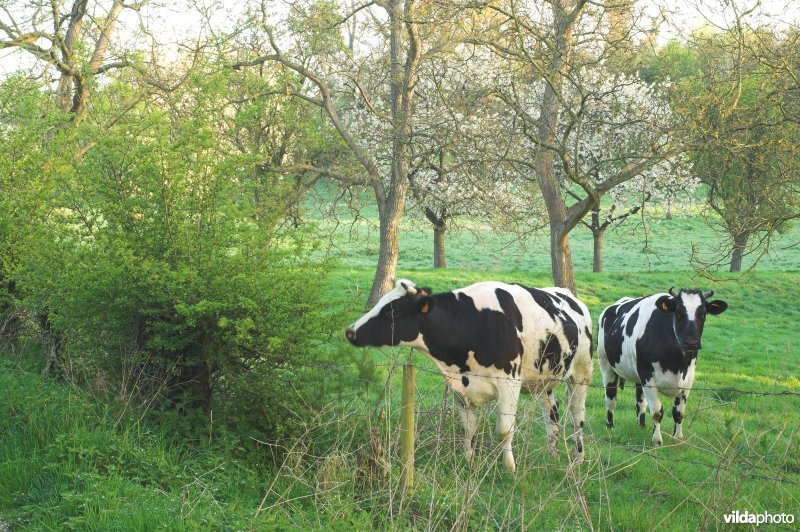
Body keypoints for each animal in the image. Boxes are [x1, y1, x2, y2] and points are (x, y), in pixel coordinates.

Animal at [344, 278, 592, 470]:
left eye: (392, 310)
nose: (350, 332)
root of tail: (571, 297)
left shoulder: (509, 382)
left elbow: (504, 430)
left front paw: (509, 468)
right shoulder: (461, 387)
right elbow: (468, 427)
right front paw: (468, 460)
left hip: (581, 372)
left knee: (577, 415)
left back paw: (578, 458)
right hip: (544, 380)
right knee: (552, 412)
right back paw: (553, 454)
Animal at [596, 286, 728, 444]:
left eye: (702, 314)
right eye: (678, 313)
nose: (691, 342)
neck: (677, 363)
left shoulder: (688, 379)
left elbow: (679, 412)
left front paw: (678, 438)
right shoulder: (648, 378)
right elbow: (657, 412)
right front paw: (657, 440)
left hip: (637, 375)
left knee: (640, 403)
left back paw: (641, 426)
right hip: (606, 364)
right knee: (610, 398)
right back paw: (610, 426)